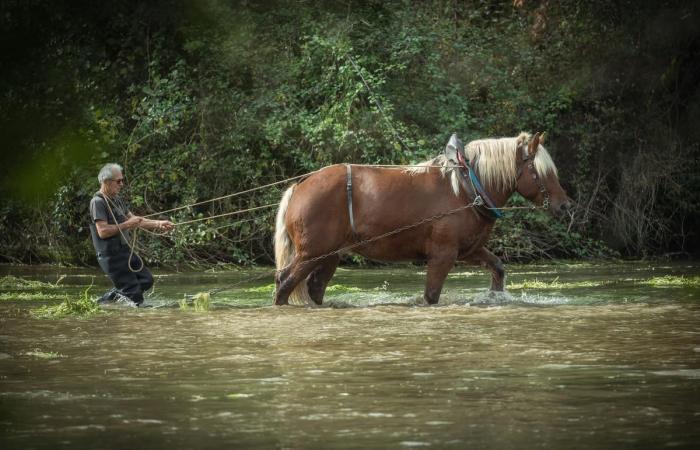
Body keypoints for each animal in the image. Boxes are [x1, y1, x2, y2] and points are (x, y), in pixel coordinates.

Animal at [270, 131, 572, 306]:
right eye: (541, 171)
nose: (565, 205)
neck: (465, 188)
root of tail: (299, 187)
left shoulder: (468, 251)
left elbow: (497, 268)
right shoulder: (443, 255)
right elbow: (431, 295)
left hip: (328, 256)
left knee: (314, 288)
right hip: (310, 254)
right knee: (284, 284)